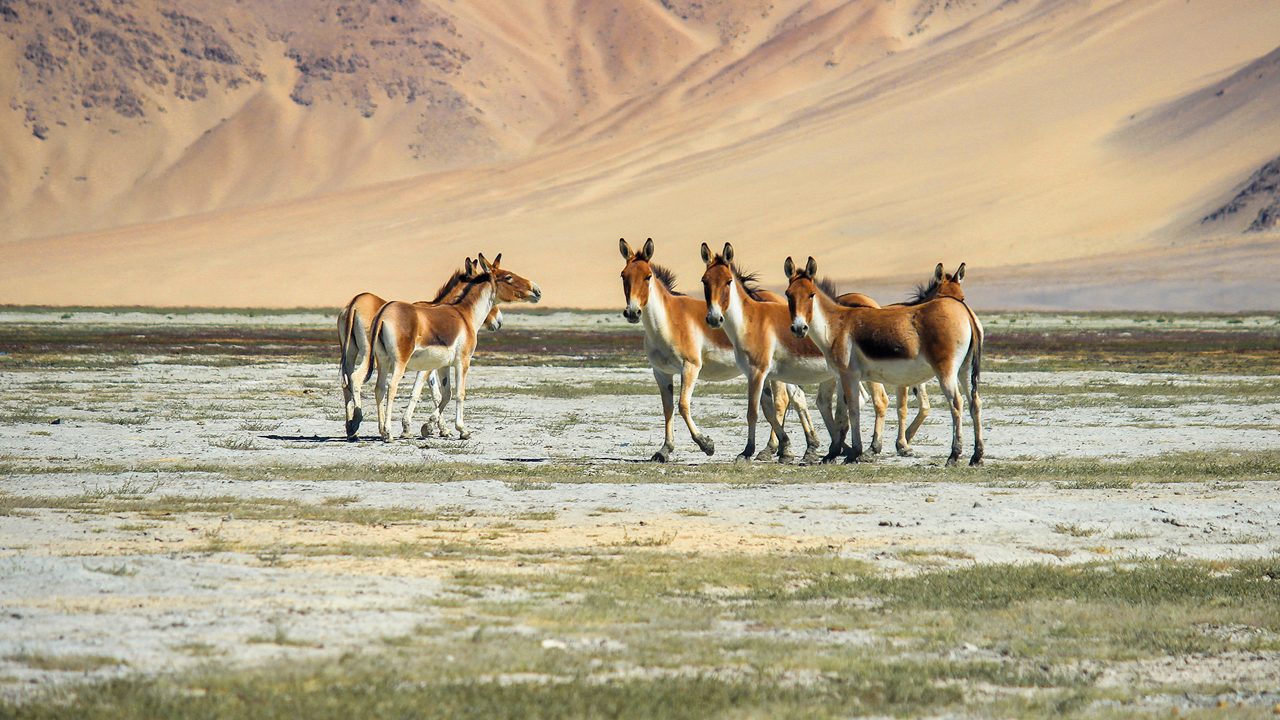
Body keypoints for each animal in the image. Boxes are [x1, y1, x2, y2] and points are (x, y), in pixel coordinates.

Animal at [619, 235, 819, 458]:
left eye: (647, 277)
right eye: (623, 276)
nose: (633, 312)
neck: (667, 322)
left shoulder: (690, 367)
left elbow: (683, 405)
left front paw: (705, 444)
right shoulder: (661, 372)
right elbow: (667, 408)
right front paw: (665, 449)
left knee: (781, 401)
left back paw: (774, 449)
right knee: (798, 398)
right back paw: (804, 447)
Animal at [778, 254, 977, 461]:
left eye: (811, 294)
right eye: (788, 294)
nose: (799, 328)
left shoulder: (860, 375)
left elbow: (869, 408)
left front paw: (886, 445)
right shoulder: (853, 375)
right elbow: (855, 409)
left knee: (957, 403)